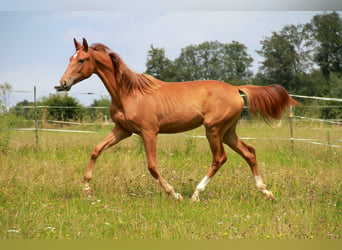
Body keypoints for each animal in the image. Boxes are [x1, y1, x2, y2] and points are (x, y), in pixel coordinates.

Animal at [60, 38, 298, 201]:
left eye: (82, 60)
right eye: (70, 58)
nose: (63, 83)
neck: (129, 93)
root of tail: (236, 89)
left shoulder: (149, 132)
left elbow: (152, 166)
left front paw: (174, 194)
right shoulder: (122, 130)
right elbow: (96, 150)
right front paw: (87, 189)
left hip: (213, 130)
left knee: (220, 158)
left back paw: (195, 195)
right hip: (228, 132)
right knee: (249, 152)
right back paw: (266, 191)